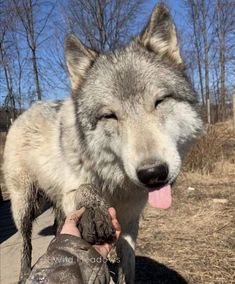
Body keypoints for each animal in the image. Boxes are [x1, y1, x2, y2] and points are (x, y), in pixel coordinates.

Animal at [2, 4, 202, 284]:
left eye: (160, 102)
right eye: (110, 116)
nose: (153, 173)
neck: (115, 183)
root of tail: (25, 110)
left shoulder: (130, 223)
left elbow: (127, 265)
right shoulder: (71, 192)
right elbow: (86, 189)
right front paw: (95, 213)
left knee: (57, 230)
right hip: (25, 205)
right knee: (25, 243)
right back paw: (23, 273)